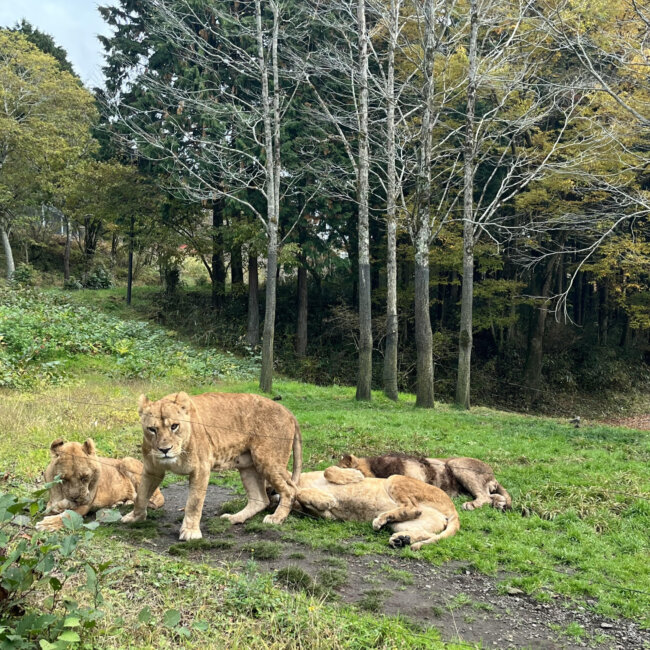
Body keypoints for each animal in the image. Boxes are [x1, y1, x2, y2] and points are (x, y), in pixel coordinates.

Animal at [36, 436, 165, 532]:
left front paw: (47, 524)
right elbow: (53, 507)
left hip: (127, 461)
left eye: (85, 477)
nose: (75, 498)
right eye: (63, 479)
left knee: (152, 498)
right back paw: (119, 503)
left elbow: (67, 515)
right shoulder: (52, 501)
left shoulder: (85, 505)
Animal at [121, 390, 302, 536]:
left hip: (267, 460)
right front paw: (134, 517)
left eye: (174, 426)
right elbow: (142, 494)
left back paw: (276, 518)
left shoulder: (201, 468)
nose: (165, 450)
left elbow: (194, 503)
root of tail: (288, 412)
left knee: (290, 489)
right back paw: (233, 518)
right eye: (152, 429)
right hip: (248, 465)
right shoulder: (153, 469)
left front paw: (190, 532)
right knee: (260, 499)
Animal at [294, 464, 456, 548]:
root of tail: (453, 508)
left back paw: (384, 523)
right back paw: (401, 539)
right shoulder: (328, 516)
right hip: (401, 524)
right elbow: (300, 496)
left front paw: (355, 475)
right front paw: (325, 499)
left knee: (413, 507)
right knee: (429, 533)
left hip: (394, 478)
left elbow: (328, 470)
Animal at [336, 454, 508, 508]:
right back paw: (499, 503)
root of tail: (492, 474)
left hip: (457, 464)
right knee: (492, 495)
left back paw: (471, 505)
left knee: (484, 496)